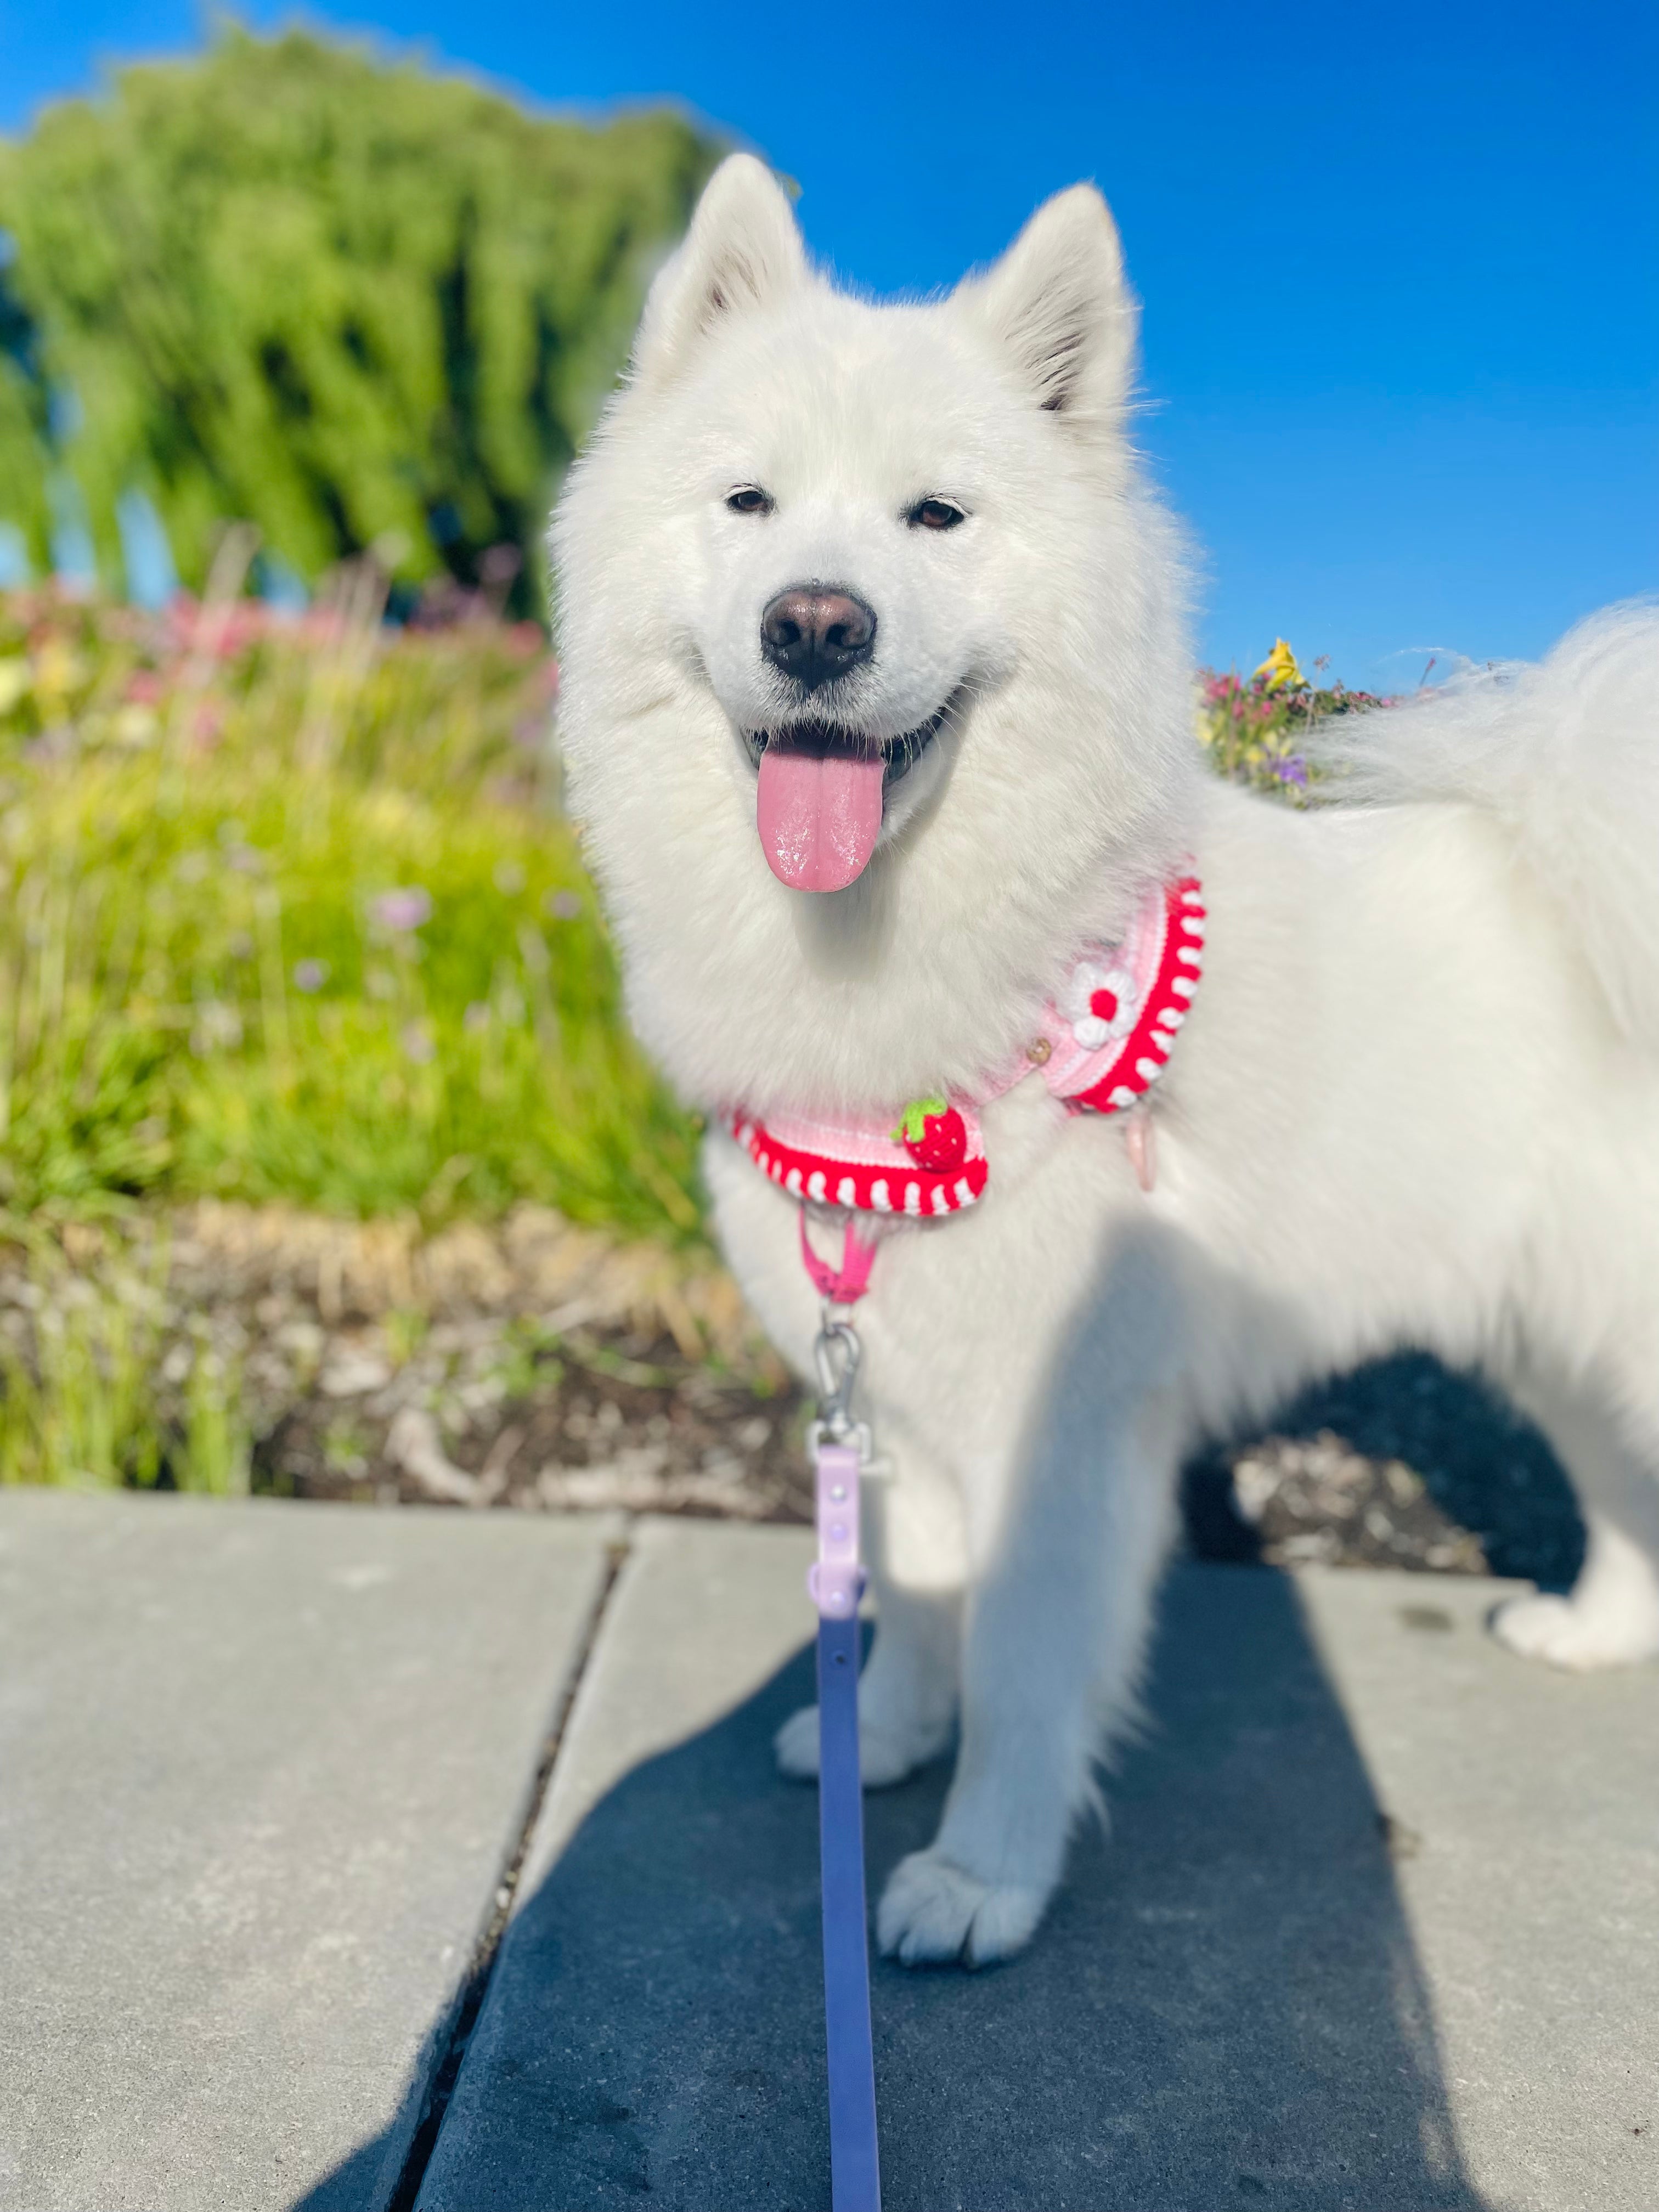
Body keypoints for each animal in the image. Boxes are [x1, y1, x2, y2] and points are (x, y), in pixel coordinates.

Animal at [555, 156, 1659, 1964]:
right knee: (1630, 1495)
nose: (815, 626)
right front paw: (884, 1741)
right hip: (1555, 1334)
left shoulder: (1054, 1435)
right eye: (750, 505)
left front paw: (980, 1876)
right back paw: (1596, 1632)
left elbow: (1021, 1667)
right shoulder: (903, 1390)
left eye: (936, 518)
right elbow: (914, 1604)